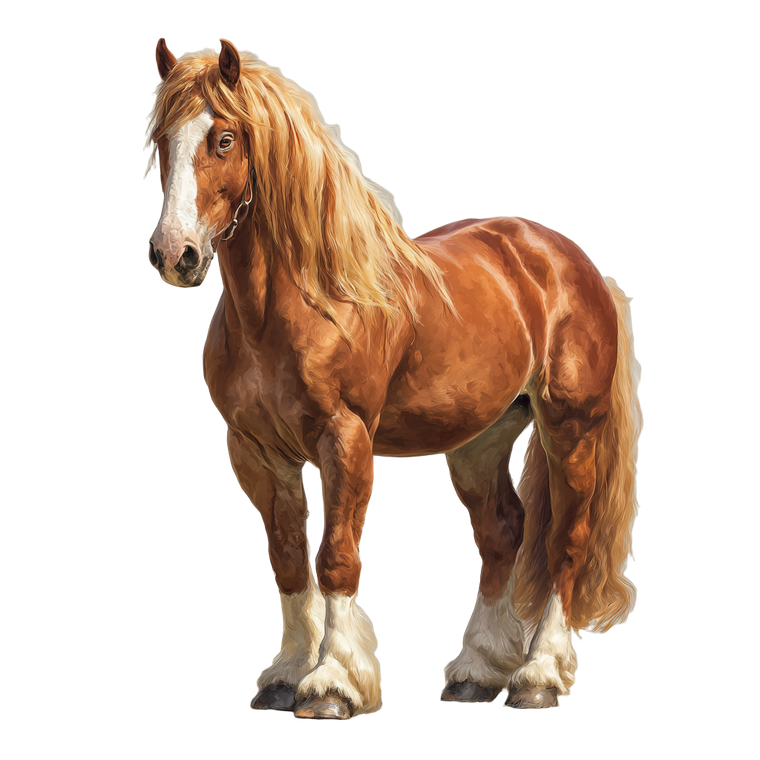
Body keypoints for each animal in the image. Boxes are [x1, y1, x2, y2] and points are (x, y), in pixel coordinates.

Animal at [143, 37, 643, 719]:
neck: (301, 303)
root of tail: (569, 263)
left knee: (566, 539)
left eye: (223, 138)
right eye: (162, 140)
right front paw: (286, 674)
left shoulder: (345, 441)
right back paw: (475, 672)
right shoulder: (256, 452)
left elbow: (335, 558)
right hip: (479, 441)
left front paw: (331, 683)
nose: (175, 255)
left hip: (571, 428)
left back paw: (538, 674)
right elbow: (289, 561)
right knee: (504, 536)